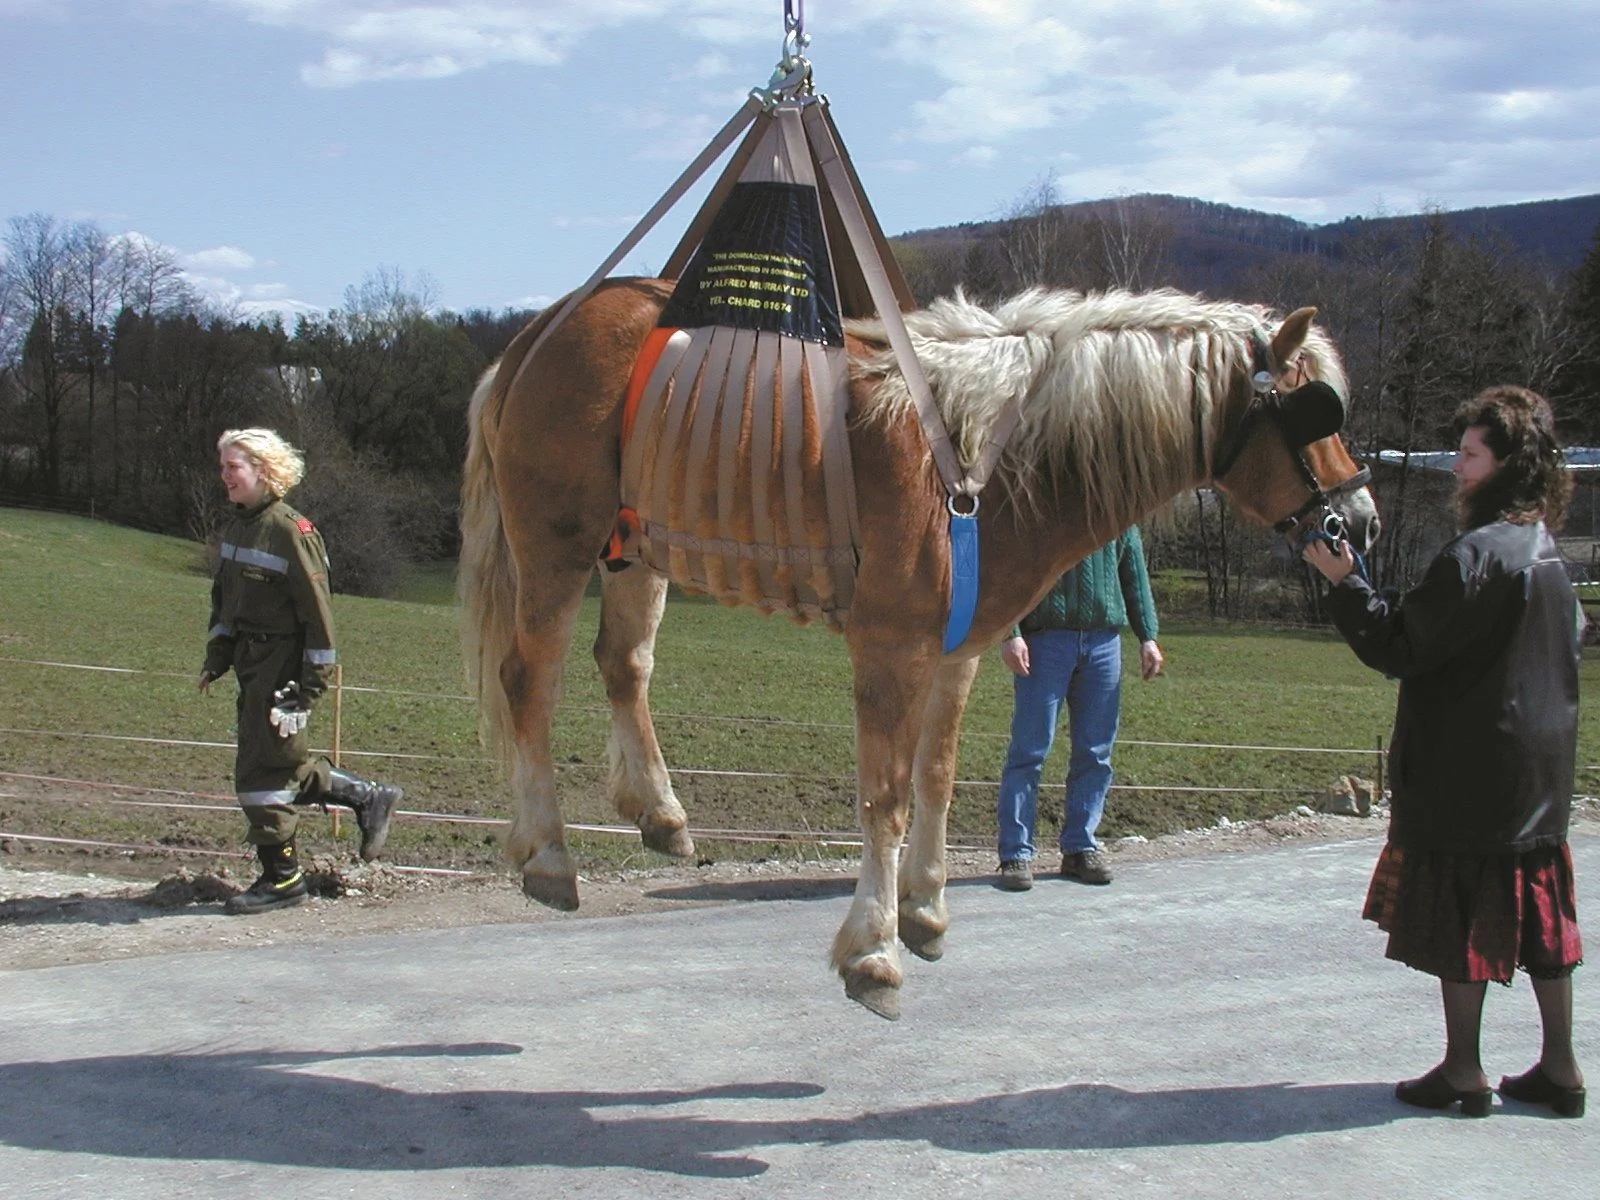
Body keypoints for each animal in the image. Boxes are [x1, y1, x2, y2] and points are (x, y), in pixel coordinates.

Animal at [458, 280, 1380, 1019]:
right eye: (1315, 410)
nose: (1362, 524)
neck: (977, 458)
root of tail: (539, 332)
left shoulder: (957, 649)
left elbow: (936, 777)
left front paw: (927, 909)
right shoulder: (892, 647)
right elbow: (886, 799)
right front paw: (874, 949)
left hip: (635, 550)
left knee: (624, 664)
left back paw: (659, 810)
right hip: (557, 544)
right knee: (527, 680)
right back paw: (548, 851)